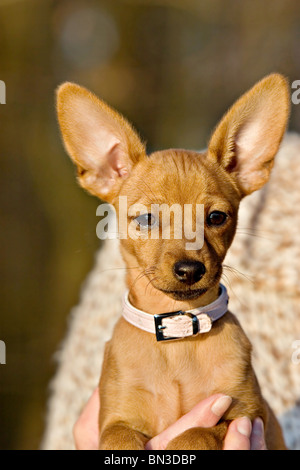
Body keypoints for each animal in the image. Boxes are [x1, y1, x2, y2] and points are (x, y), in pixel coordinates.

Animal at [56, 72, 290, 448]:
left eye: (216, 218)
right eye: (146, 219)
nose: (190, 269)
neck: (178, 339)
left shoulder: (245, 414)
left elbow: (196, 432)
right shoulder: (117, 420)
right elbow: (119, 439)